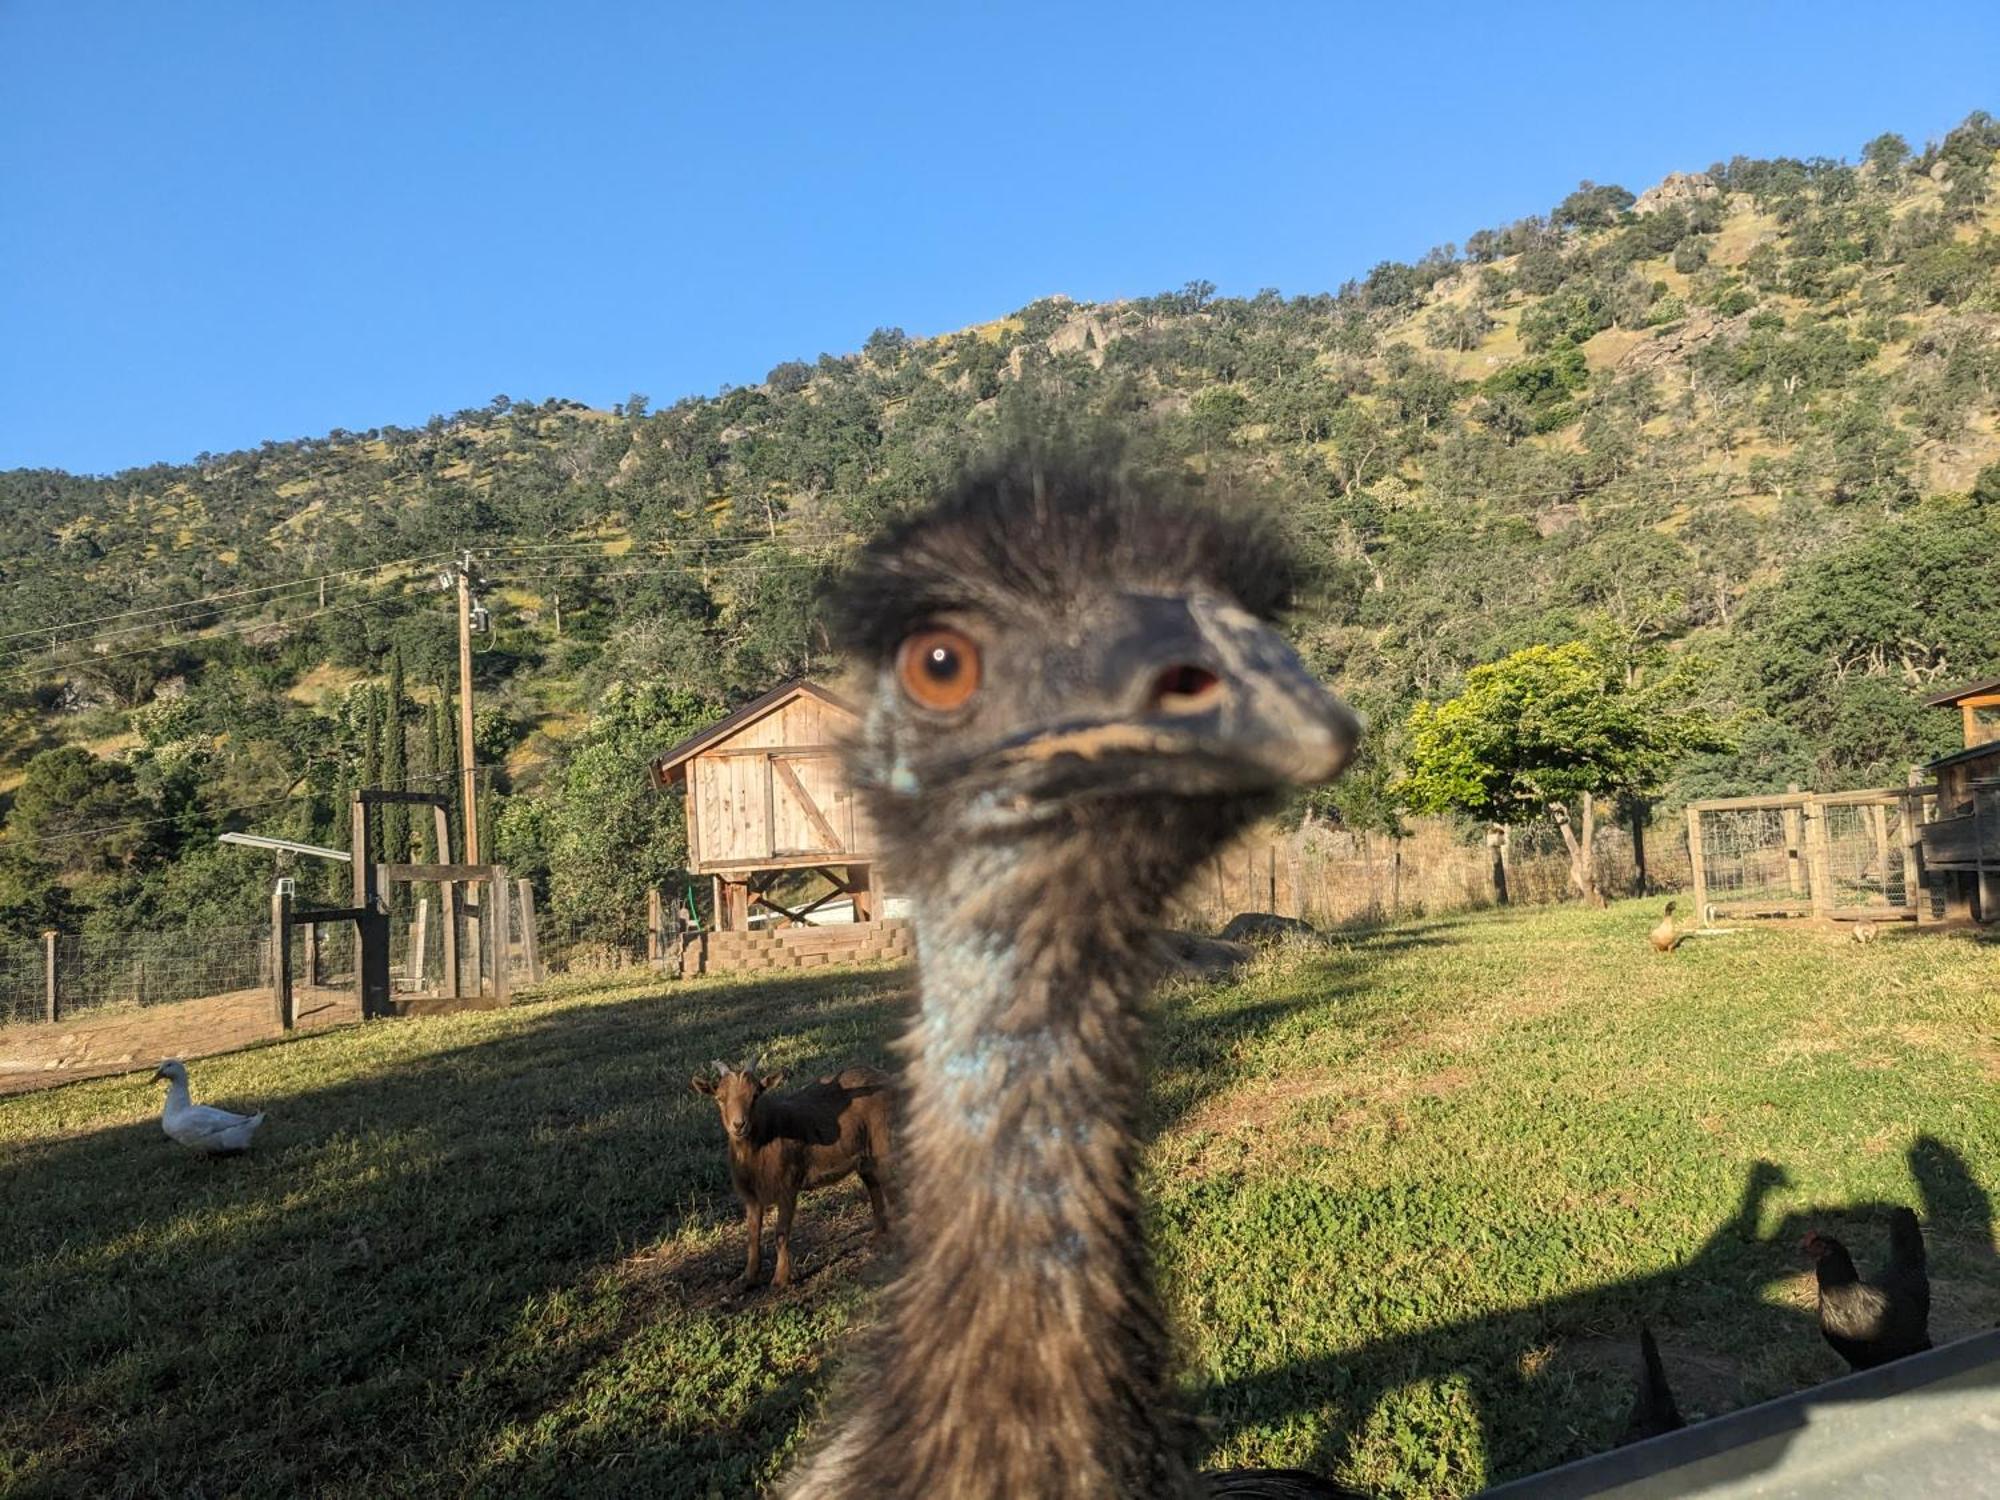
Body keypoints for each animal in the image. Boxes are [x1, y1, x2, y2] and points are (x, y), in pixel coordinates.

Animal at [696, 1056, 900, 1296]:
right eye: (719, 1098)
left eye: (755, 1096)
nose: (739, 1125)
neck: (764, 1139)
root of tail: (885, 1078)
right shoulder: (751, 1195)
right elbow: (752, 1235)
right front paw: (747, 1279)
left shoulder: (787, 1186)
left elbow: (781, 1233)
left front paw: (780, 1279)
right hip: (863, 1157)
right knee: (874, 1187)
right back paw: (877, 1237)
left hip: (882, 1141)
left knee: (891, 1186)